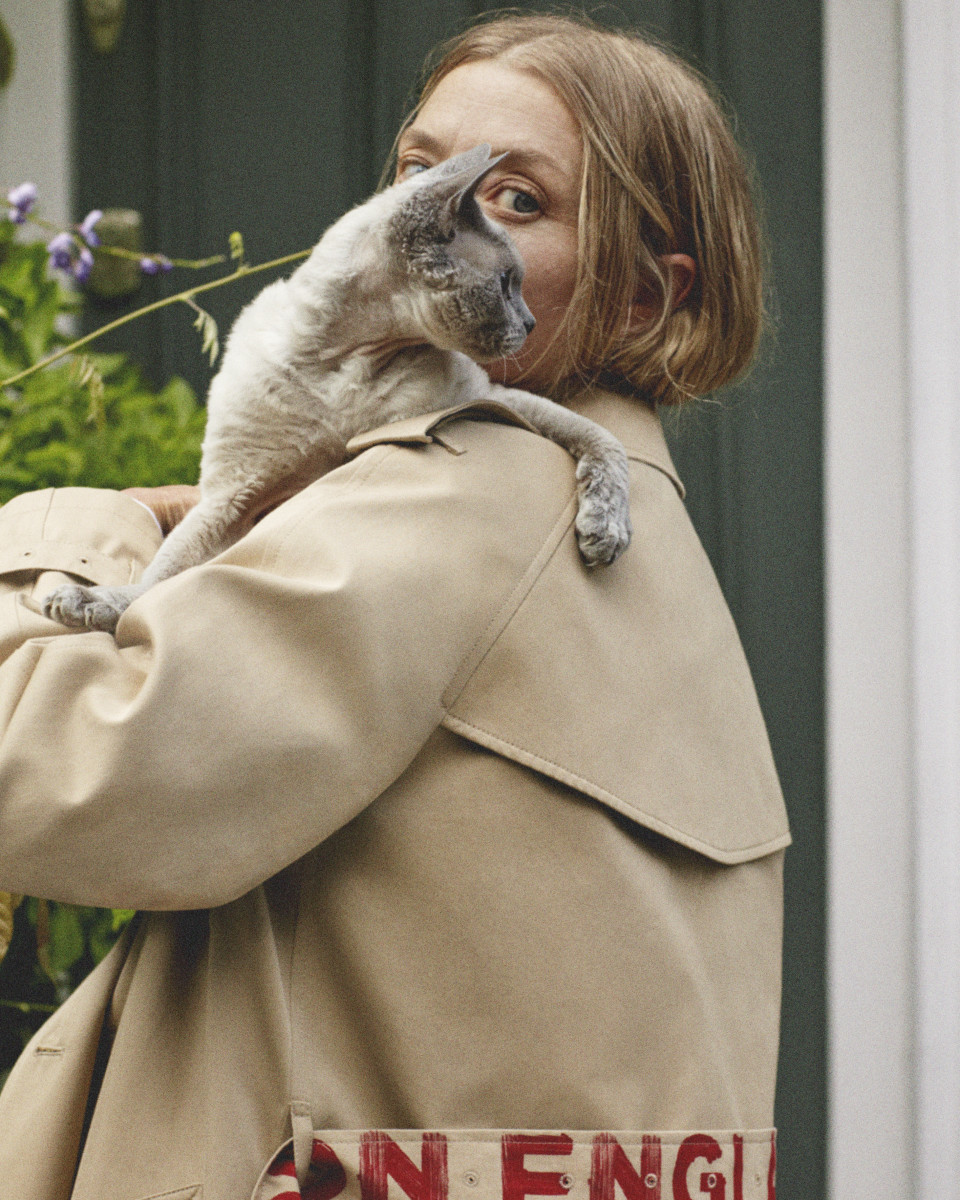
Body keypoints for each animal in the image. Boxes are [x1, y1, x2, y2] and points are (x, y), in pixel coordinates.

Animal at [45, 144, 633, 633]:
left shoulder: (488, 399)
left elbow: (602, 440)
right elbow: (158, 581)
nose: (530, 323)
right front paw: (91, 602)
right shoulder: (232, 496)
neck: (349, 364)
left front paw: (604, 530)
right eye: (507, 284)